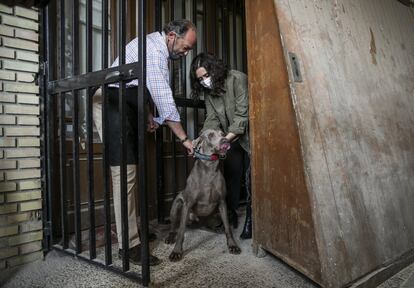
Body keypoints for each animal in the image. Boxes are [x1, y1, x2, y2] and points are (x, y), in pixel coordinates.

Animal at [165, 129, 243, 260]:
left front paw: (233, 245)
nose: (225, 140)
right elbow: (181, 231)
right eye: (210, 135)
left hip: (217, 214)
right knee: (173, 226)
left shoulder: (222, 202)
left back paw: (216, 229)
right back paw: (170, 237)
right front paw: (176, 251)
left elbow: (228, 227)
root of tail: (199, 222)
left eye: (222, 134)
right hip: (177, 205)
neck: (210, 168)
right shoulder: (188, 204)